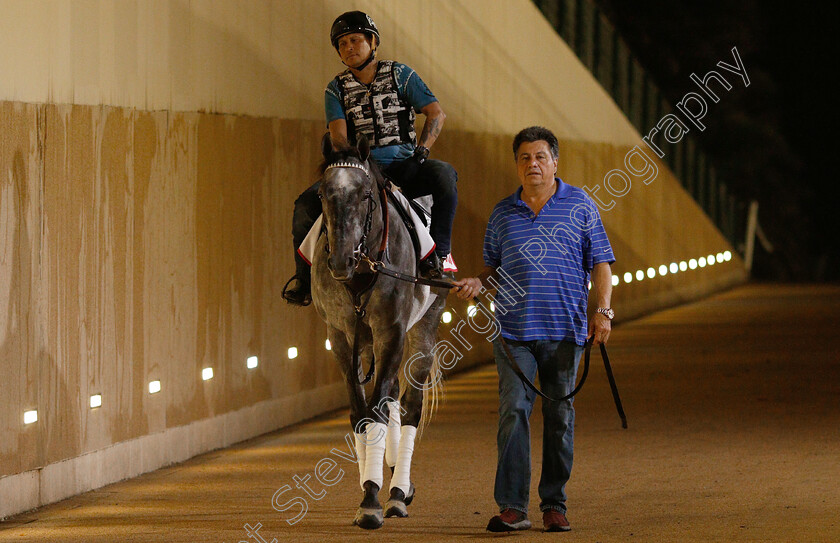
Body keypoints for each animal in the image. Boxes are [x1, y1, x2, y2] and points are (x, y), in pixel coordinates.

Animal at [312, 134, 450, 528]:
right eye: (322, 194)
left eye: (364, 195)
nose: (340, 259)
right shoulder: (341, 337)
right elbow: (361, 412)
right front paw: (368, 489)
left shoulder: (392, 331)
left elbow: (377, 410)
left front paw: (375, 498)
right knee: (388, 401)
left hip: (423, 328)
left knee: (409, 406)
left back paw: (399, 491)